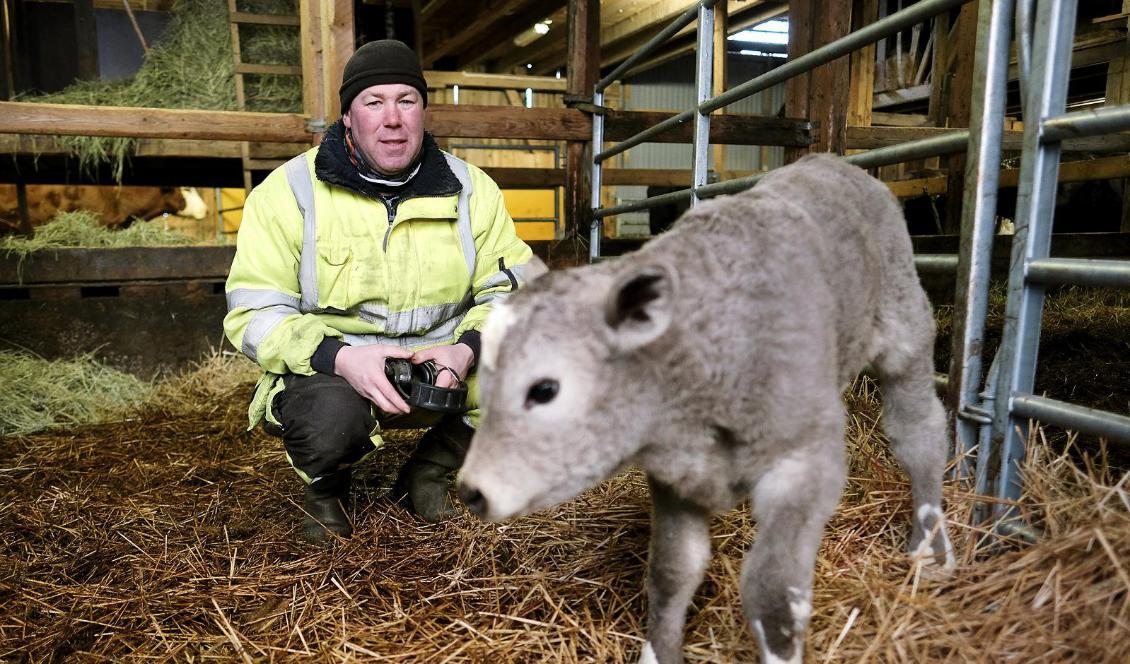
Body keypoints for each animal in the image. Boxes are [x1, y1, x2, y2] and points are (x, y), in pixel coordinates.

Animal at [454, 155, 958, 664]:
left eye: (544, 389)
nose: (472, 490)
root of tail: (832, 163)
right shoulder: (676, 478)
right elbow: (672, 572)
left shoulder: (806, 463)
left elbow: (773, 593)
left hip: (906, 333)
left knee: (920, 436)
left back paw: (930, 548)